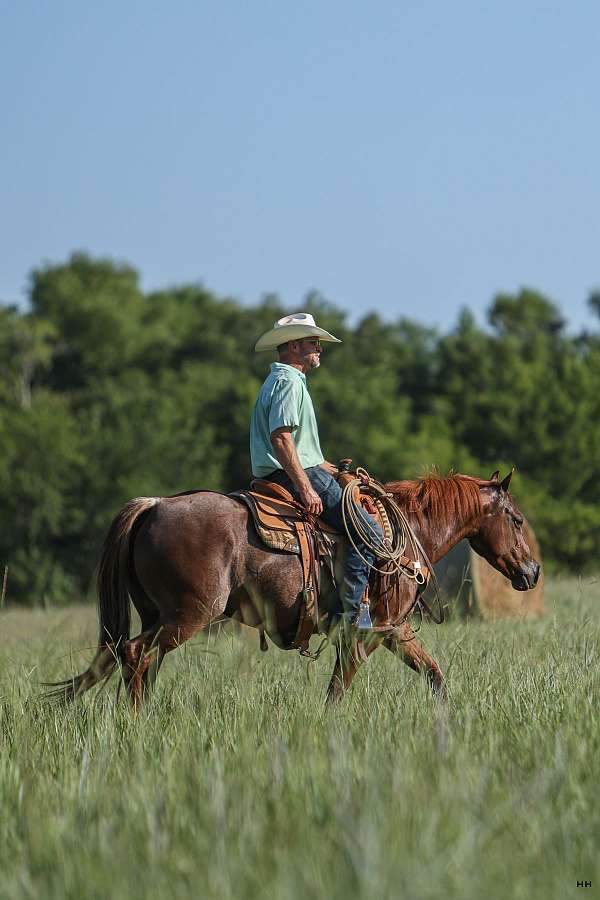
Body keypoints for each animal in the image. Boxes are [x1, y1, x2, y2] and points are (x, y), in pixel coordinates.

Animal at [45, 468, 540, 708]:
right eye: (517, 519)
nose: (533, 572)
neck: (405, 533)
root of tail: (154, 505)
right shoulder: (365, 634)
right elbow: (338, 691)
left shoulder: (394, 631)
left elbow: (435, 676)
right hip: (187, 617)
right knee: (134, 655)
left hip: (157, 617)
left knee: (136, 660)